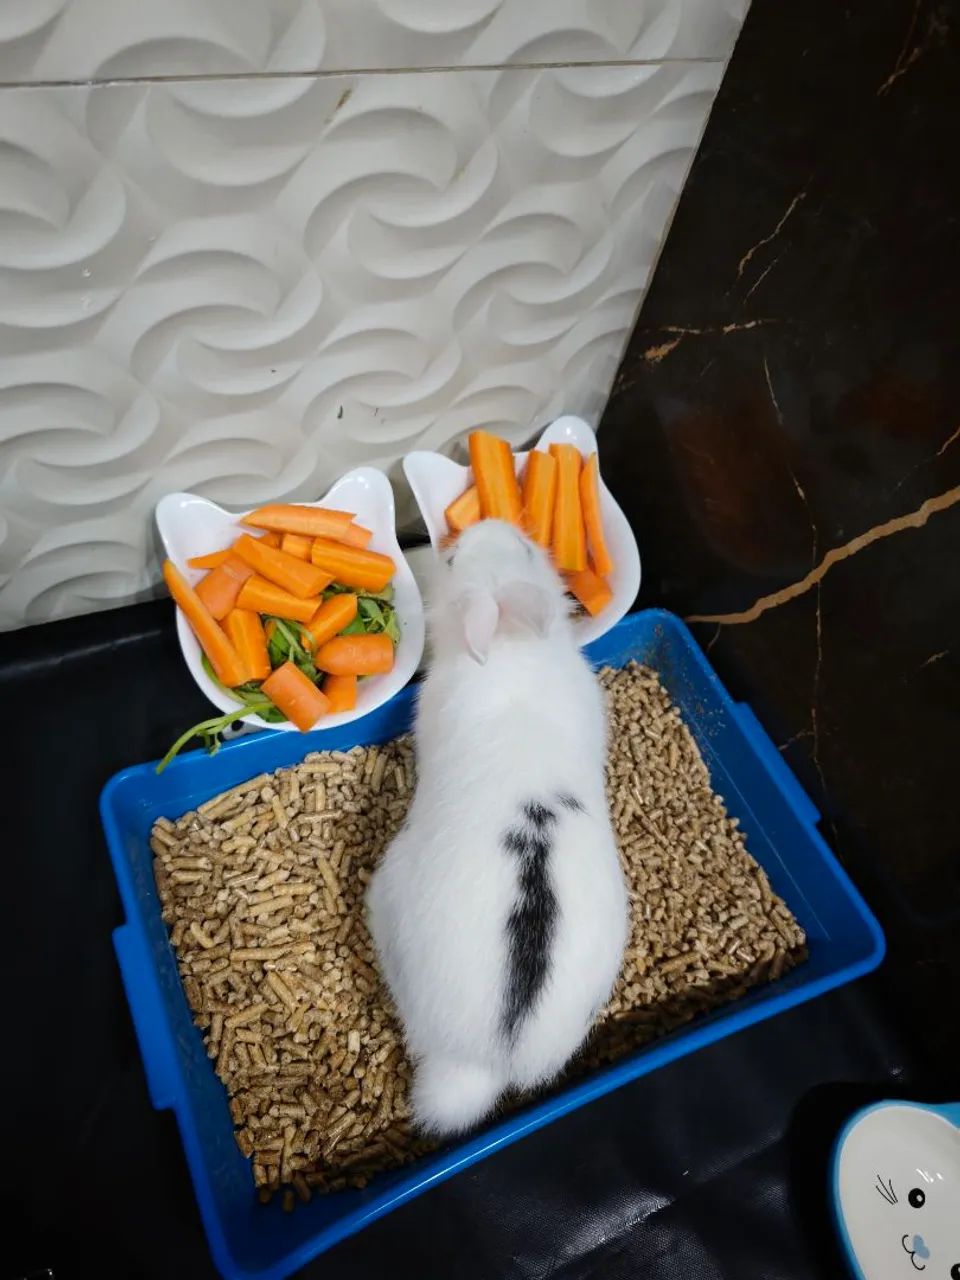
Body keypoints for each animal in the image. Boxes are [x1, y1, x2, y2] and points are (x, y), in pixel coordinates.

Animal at [366, 517, 628, 1136]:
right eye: (532, 549)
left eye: (450, 559)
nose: (485, 525)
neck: (509, 648)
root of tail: (483, 1060)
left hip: (386, 893)